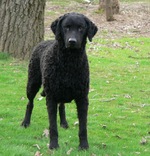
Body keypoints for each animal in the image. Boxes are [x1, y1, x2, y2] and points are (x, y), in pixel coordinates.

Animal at [21, 12, 98, 150]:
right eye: (66, 27)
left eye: (81, 28)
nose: (72, 41)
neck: (69, 62)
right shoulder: (51, 97)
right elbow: (52, 126)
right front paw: (53, 145)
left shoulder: (83, 98)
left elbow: (83, 126)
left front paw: (84, 145)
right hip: (32, 84)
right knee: (30, 103)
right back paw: (25, 122)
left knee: (61, 106)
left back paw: (64, 123)